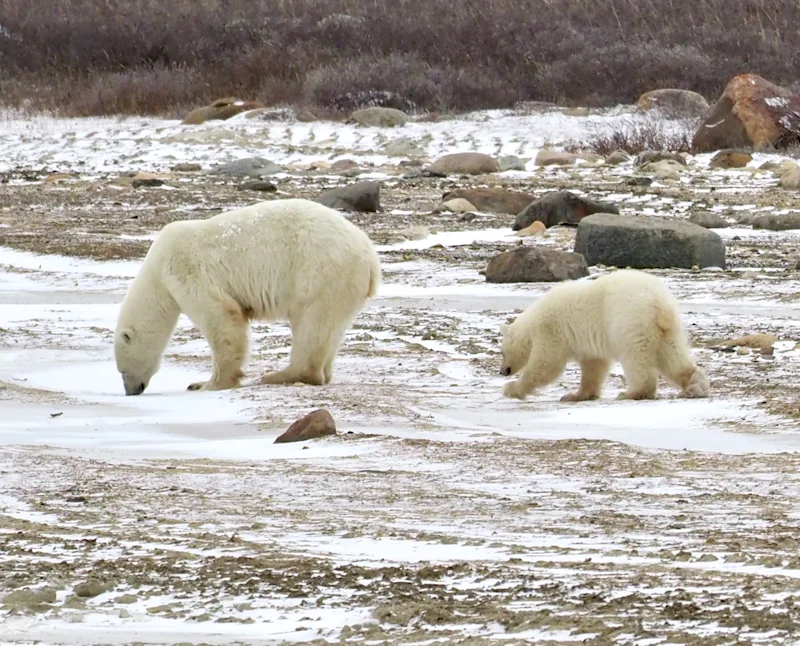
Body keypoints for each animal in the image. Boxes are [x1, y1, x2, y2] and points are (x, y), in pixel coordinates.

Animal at [114, 198, 381, 396]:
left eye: (121, 370)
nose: (131, 391)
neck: (157, 269)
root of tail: (370, 256)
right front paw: (200, 382)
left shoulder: (186, 270)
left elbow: (222, 317)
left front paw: (209, 384)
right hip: (342, 285)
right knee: (331, 330)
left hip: (319, 271)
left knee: (311, 323)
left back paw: (277, 375)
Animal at [499, 269, 710, 402]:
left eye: (502, 352)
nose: (502, 371)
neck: (532, 323)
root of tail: (658, 302)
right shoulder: (586, 345)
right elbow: (594, 366)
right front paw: (575, 396)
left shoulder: (551, 331)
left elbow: (545, 365)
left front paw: (511, 389)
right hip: (668, 328)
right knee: (673, 354)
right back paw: (694, 387)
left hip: (629, 322)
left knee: (636, 358)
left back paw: (631, 393)